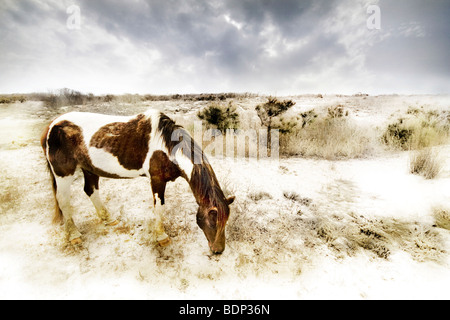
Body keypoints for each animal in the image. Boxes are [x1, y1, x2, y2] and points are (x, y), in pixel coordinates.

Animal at [40, 110, 236, 255]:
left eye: (225, 222)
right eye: (212, 222)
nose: (218, 251)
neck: (167, 146)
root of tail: (52, 125)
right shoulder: (157, 181)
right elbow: (159, 207)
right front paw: (161, 237)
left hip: (89, 169)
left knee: (91, 190)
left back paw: (108, 219)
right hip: (63, 174)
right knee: (64, 201)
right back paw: (74, 235)